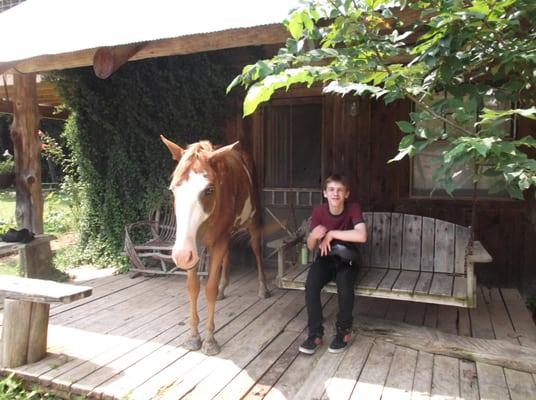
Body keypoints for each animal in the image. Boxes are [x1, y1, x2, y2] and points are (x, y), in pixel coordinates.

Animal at [159, 136, 268, 354]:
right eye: (173, 190)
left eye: (208, 190)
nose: (180, 255)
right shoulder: (194, 248)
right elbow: (193, 287)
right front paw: (193, 336)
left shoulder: (215, 241)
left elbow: (209, 288)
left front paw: (209, 339)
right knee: (228, 253)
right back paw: (223, 286)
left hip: (253, 219)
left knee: (256, 249)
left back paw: (262, 288)